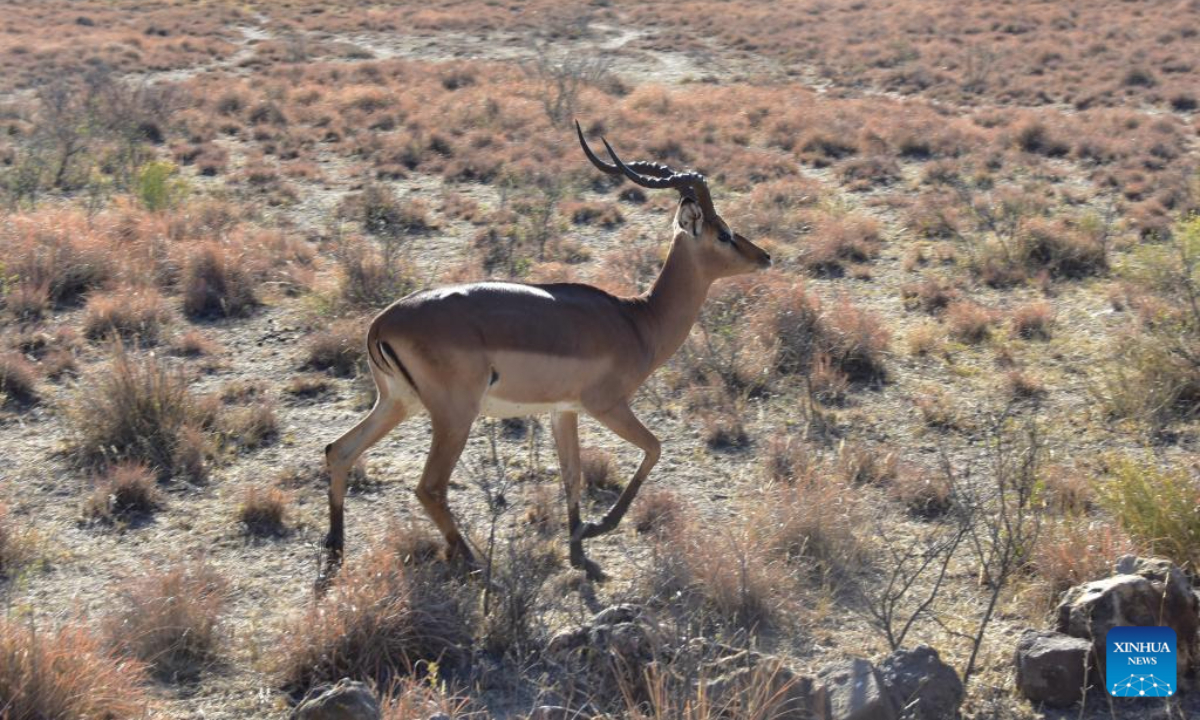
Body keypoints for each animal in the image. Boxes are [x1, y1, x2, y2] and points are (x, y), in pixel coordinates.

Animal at [322, 121, 771, 583]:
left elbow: (572, 475)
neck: (638, 320)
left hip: (398, 402)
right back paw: (481, 569)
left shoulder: (564, 410)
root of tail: (381, 323)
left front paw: (580, 555)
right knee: (429, 487)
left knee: (339, 450)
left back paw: (335, 551)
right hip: (454, 416)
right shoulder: (606, 405)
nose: (765, 256)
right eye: (724, 233)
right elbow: (655, 447)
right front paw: (597, 527)